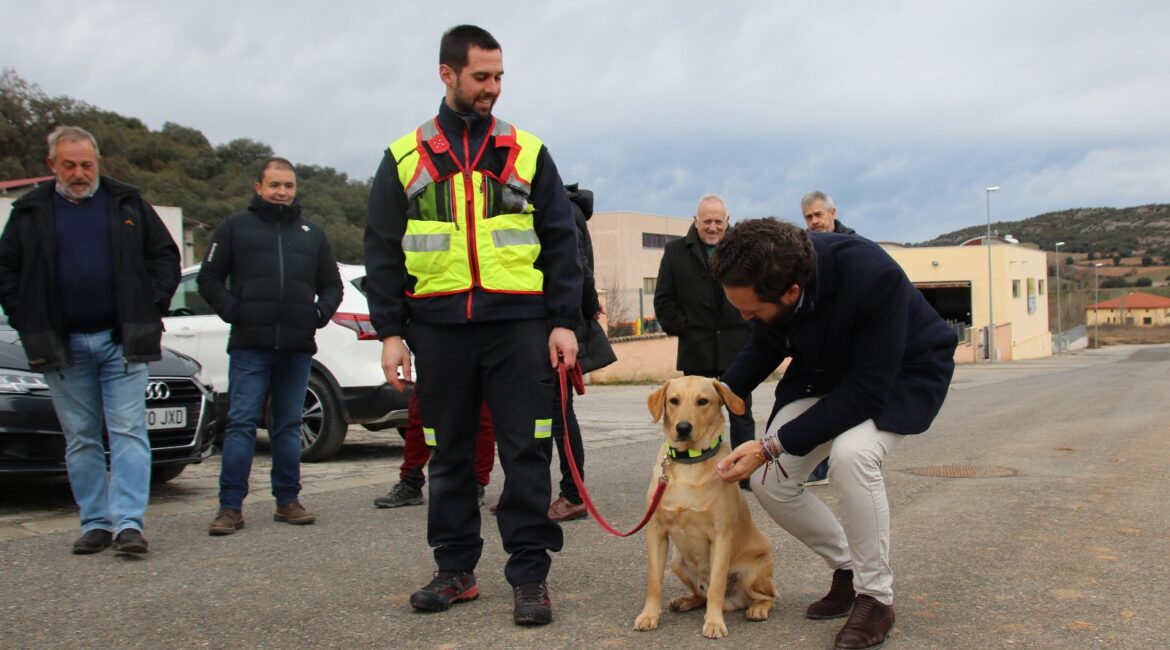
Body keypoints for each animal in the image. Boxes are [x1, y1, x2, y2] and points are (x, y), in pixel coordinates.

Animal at [636, 378, 772, 635]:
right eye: (674, 400)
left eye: (702, 401)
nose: (683, 428)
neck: (689, 463)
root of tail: (733, 603)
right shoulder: (656, 532)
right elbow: (653, 581)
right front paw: (649, 615)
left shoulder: (721, 536)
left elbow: (716, 586)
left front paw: (714, 622)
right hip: (678, 562)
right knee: (701, 594)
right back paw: (686, 601)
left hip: (755, 570)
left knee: (768, 596)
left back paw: (758, 609)